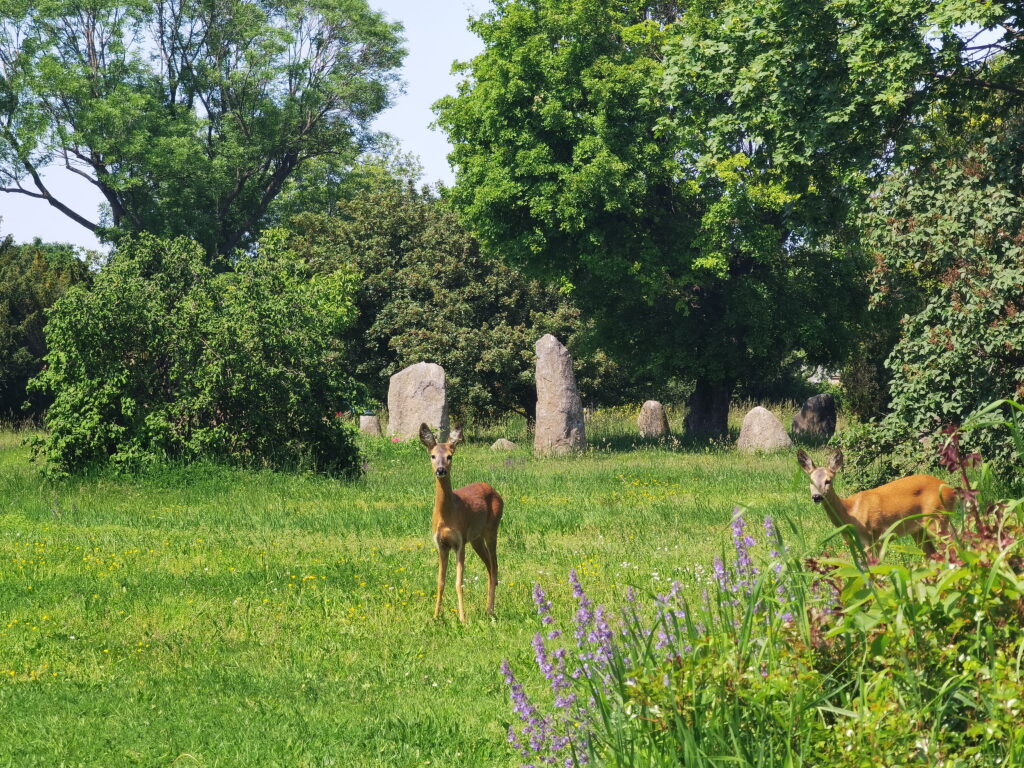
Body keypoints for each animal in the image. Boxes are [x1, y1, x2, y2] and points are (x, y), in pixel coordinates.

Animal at [419, 423, 503, 622]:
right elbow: (440, 582)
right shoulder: (441, 544)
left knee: (495, 566)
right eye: (432, 456)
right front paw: (435, 617)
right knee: (489, 566)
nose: (441, 470)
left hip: (492, 529)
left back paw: (490, 610)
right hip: (476, 538)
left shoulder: (460, 542)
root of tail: (493, 490)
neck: (447, 517)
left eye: (450, 456)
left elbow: (458, 583)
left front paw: (463, 619)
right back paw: (488, 609)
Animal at [794, 444, 954, 561]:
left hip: (937, 518)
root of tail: (951, 490)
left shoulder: (873, 537)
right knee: (933, 556)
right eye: (811, 481)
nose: (816, 497)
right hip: (919, 529)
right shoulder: (854, 543)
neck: (850, 513)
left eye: (828, 481)